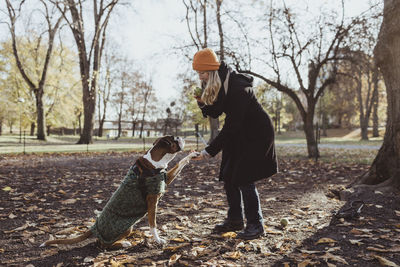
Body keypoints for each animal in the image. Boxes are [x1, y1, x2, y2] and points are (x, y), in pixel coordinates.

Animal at [39, 136, 199, 251]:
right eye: (175, 139)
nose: (182, 137)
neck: (153, 163)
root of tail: (94, 227)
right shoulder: (152, 201)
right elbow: (153, 224)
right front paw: (158, 240)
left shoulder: (166, 178)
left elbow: (179, 164)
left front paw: (192, 154)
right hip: (125, 228)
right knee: (102, 245)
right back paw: (123, 244)